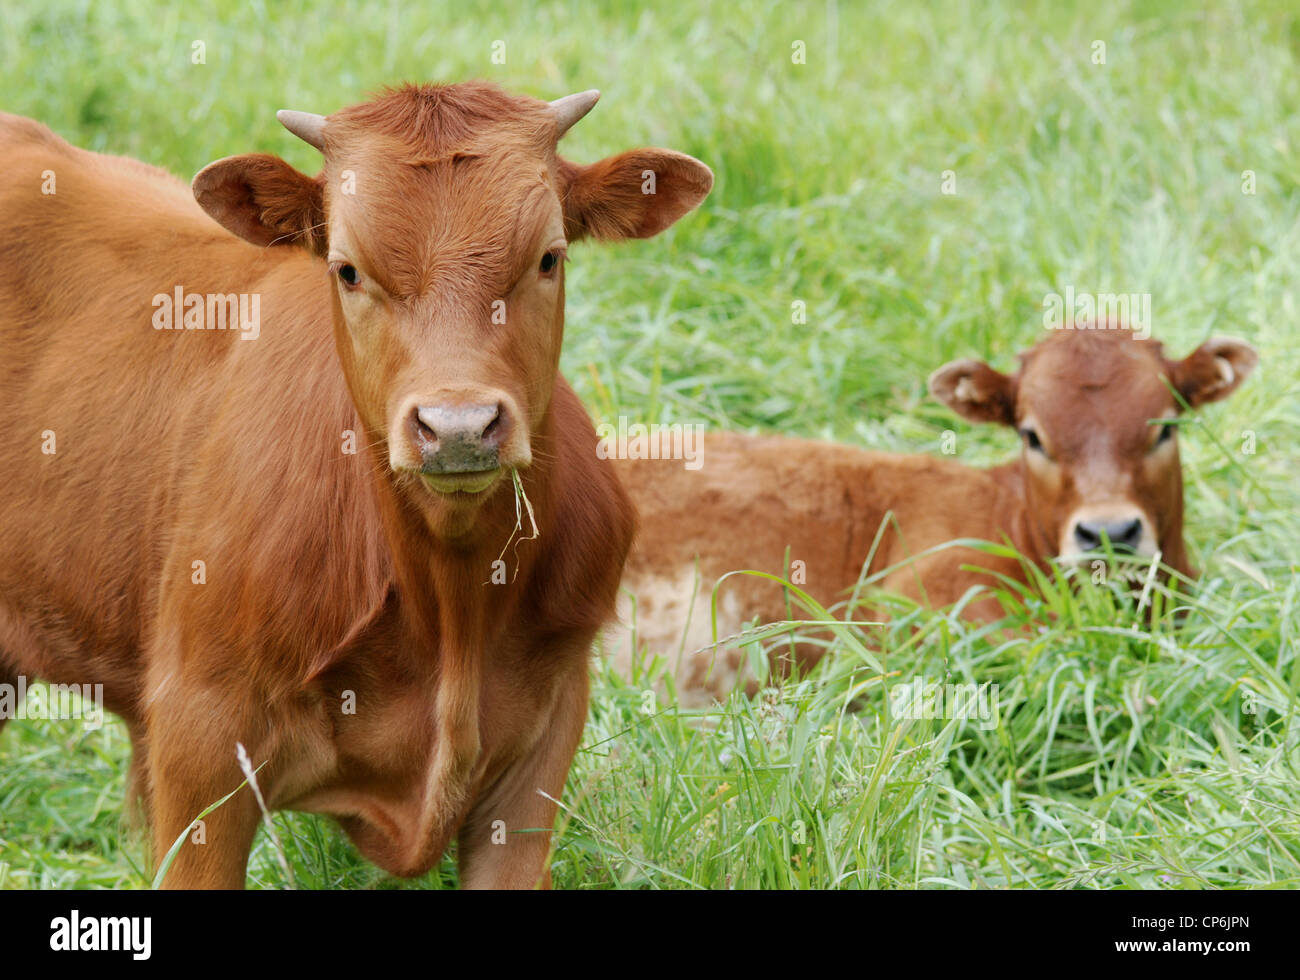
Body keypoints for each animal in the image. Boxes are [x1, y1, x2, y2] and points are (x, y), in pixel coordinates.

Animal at [0, 80, 712, 883]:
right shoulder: (196, 740)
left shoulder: (543, 748)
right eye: (347, 269)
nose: (458, 425)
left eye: (548, 258)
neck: (451, 608)